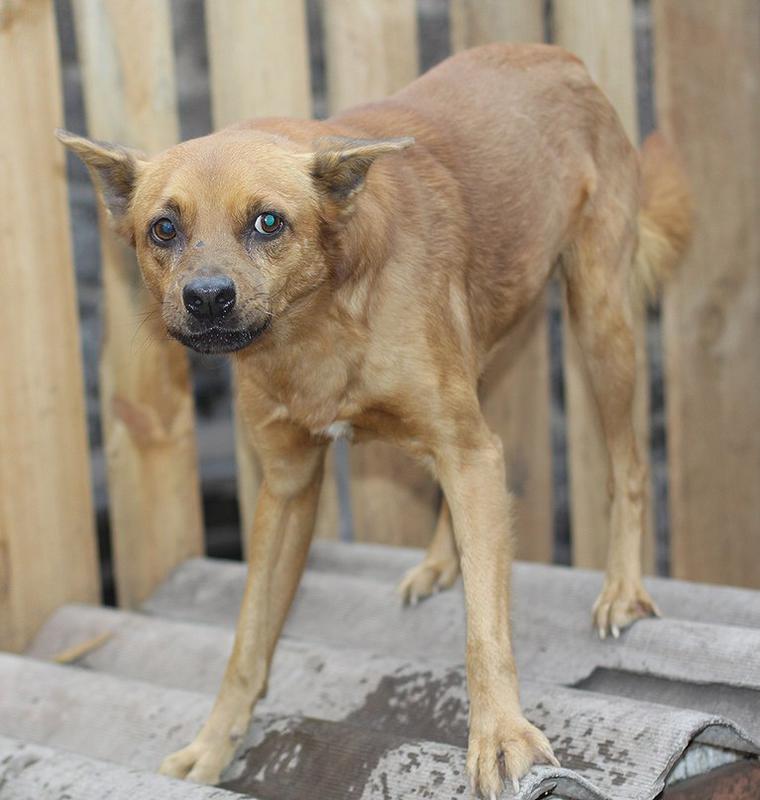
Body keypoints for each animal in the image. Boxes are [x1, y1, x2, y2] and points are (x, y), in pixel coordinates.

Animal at [58, 45, 688, 800]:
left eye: (268, 222)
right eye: (164, 228)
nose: (207, 299)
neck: (314, 324)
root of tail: (559, 57)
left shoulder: (467, 450)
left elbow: (485, 628)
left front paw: (501, 737)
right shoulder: (289, 487)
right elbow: (248, 641)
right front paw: (212, 746)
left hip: (600, 323)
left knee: (629, 464)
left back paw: (622, 591)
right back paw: (442, 560)